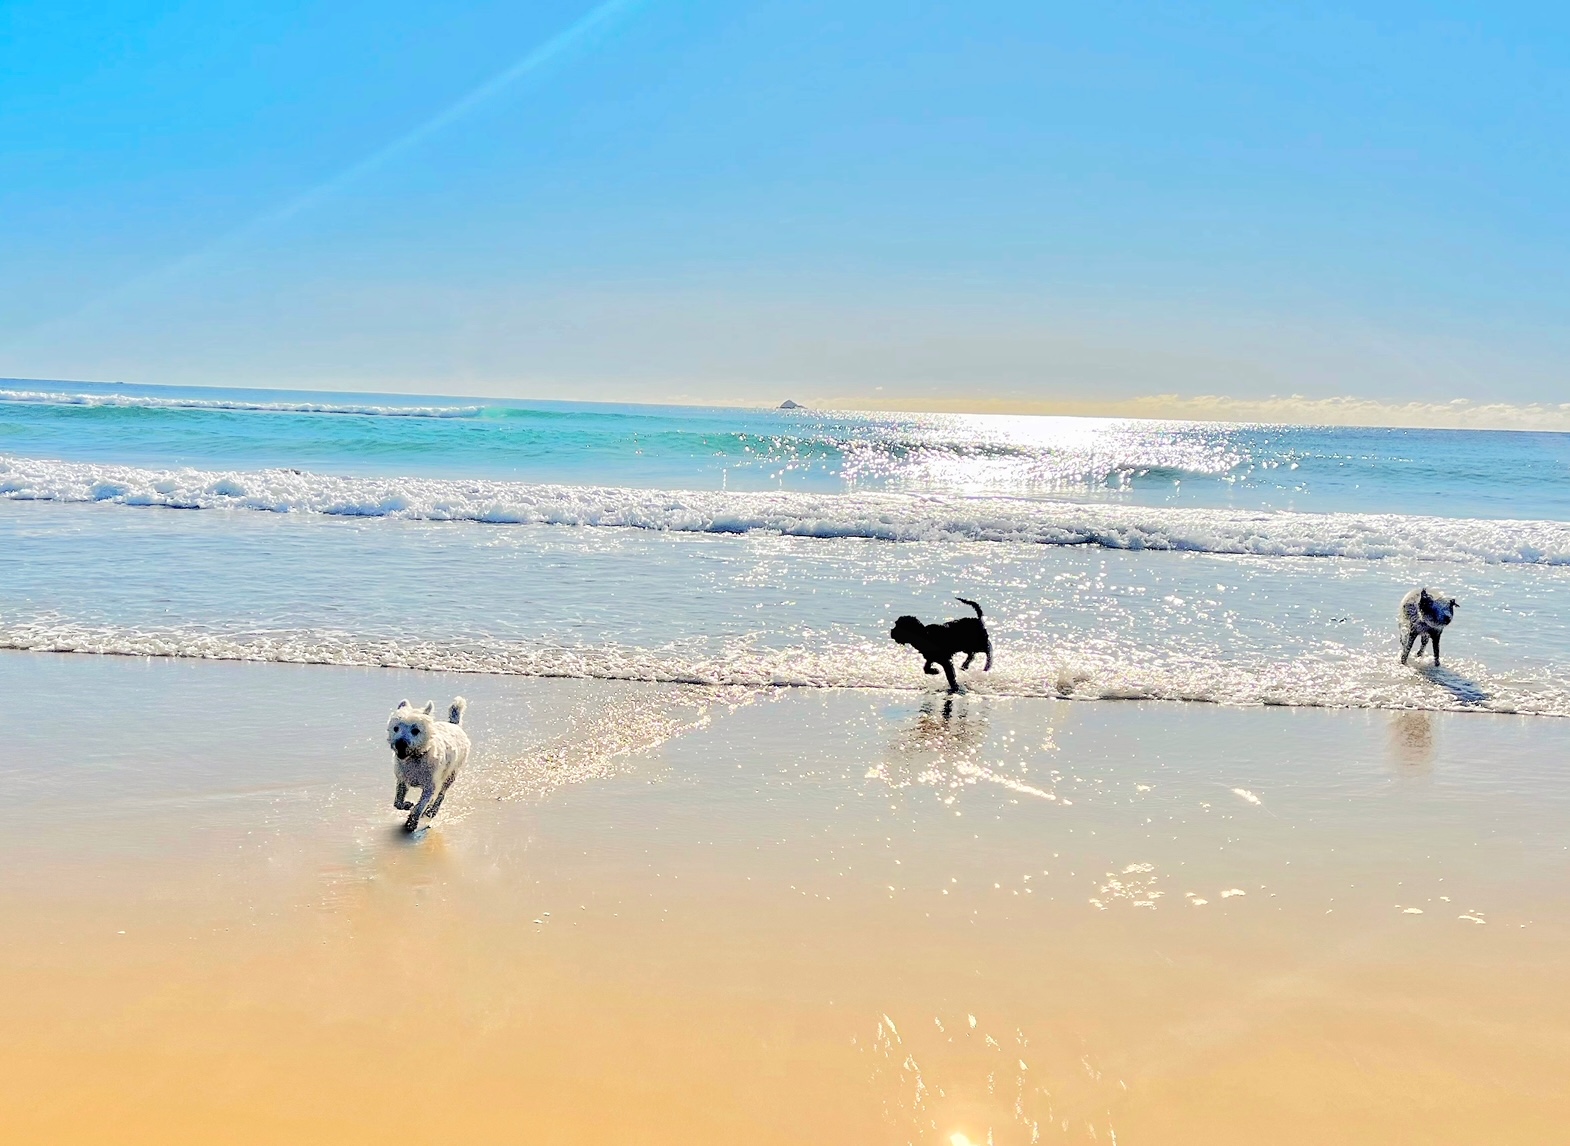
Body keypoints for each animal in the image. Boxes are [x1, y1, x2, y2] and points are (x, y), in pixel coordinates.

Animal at [389, 697, 467, 828]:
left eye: (415, 730)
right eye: (396, 728)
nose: (400, 744)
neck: (416, 757)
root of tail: (454, 724)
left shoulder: (430, 787)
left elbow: (420, 806)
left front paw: (412, 821)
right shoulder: (402, 781)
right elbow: (397, 802)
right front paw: (407, 805)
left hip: (450, 775)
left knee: (441, 794)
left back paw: (432, 811)